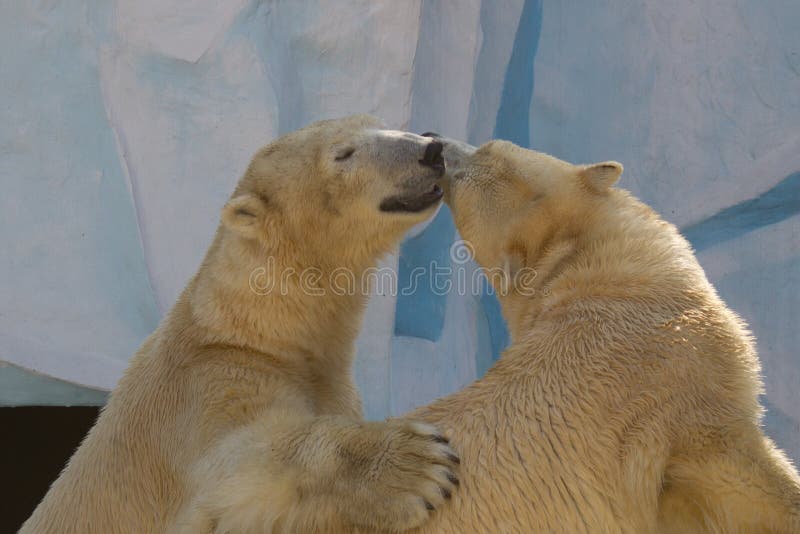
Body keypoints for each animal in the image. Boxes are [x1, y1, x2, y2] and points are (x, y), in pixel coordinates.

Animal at [21, 117, 460, 534]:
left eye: (379, 122)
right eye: (344, 153)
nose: (430, 148)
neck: (255, 332)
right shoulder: (204, 391)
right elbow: (240, 463)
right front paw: (414, 465)